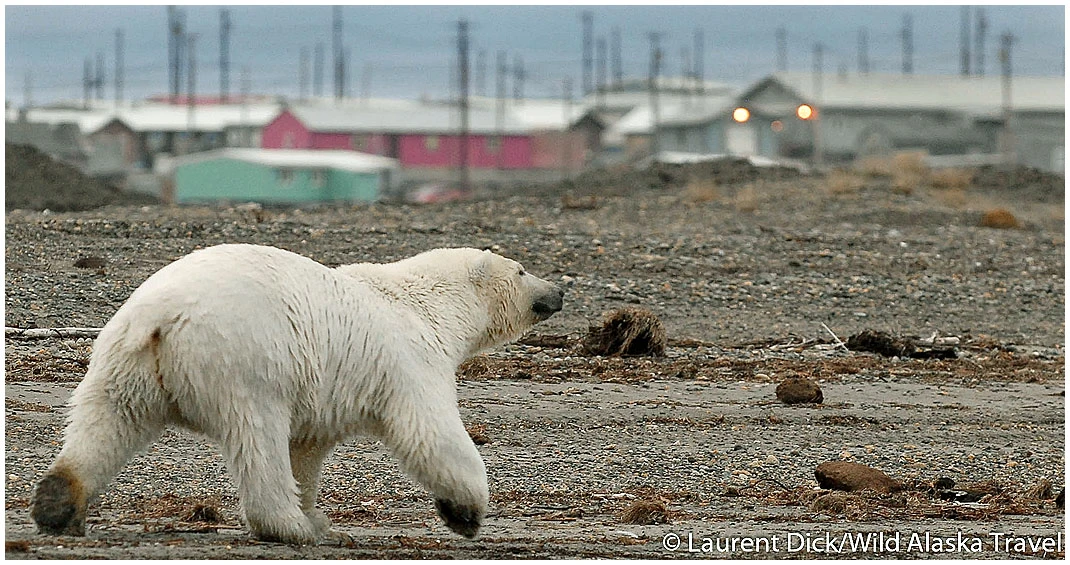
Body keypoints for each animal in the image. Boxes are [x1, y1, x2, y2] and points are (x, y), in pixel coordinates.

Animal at [31, 244, 564, 544]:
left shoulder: (327, 390)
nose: (558, 292)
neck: (428, 302)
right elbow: (431, 430)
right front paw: (466, 512)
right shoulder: (410, 359)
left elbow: (307, 447)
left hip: (126, 359)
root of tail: (161, 315)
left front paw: (323, 515)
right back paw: (289, 527)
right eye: (521, 270)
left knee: (106, 422)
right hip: (249, 360)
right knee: (259, 438)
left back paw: (59, 504)